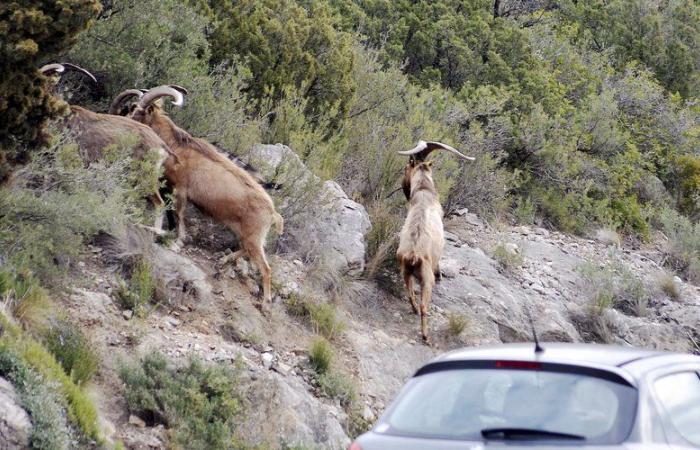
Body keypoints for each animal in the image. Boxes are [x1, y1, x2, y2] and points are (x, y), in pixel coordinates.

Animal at [119, 85, 284, 302]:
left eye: (137, 110)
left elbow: (179, 215)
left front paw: (178, 241)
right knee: (245, 251)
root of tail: (273, 213)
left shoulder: (181, 189)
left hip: (254, 237)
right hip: (250, 237)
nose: (123, 118)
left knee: (265, 267)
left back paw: (265, 301)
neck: (178, 146)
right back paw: (222, 262)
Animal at [396, 141, 474, 342]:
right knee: (424, 304)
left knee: (410, 295)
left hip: (405, 271)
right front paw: (441, 275)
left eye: (406, 167)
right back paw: (425, 335)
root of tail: (413, 255)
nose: (404, 188)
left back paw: (415, 310)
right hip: (426, 279)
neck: (424, 191)